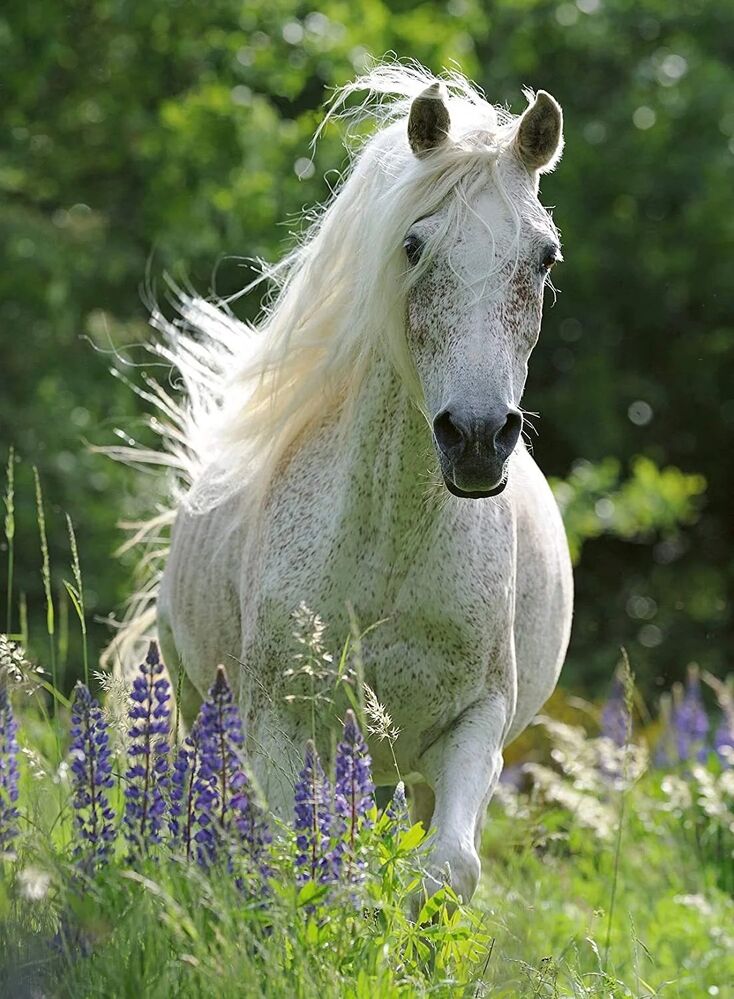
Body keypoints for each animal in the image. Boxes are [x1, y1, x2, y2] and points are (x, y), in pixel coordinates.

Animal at [118, 63, 573, 904]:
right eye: (414, 243)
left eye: (545, 257)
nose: (475, 439)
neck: (389, 548)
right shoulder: (278, 721)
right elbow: (288, 860)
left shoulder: (476, 723)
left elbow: (447, 867)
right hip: (203, 706)